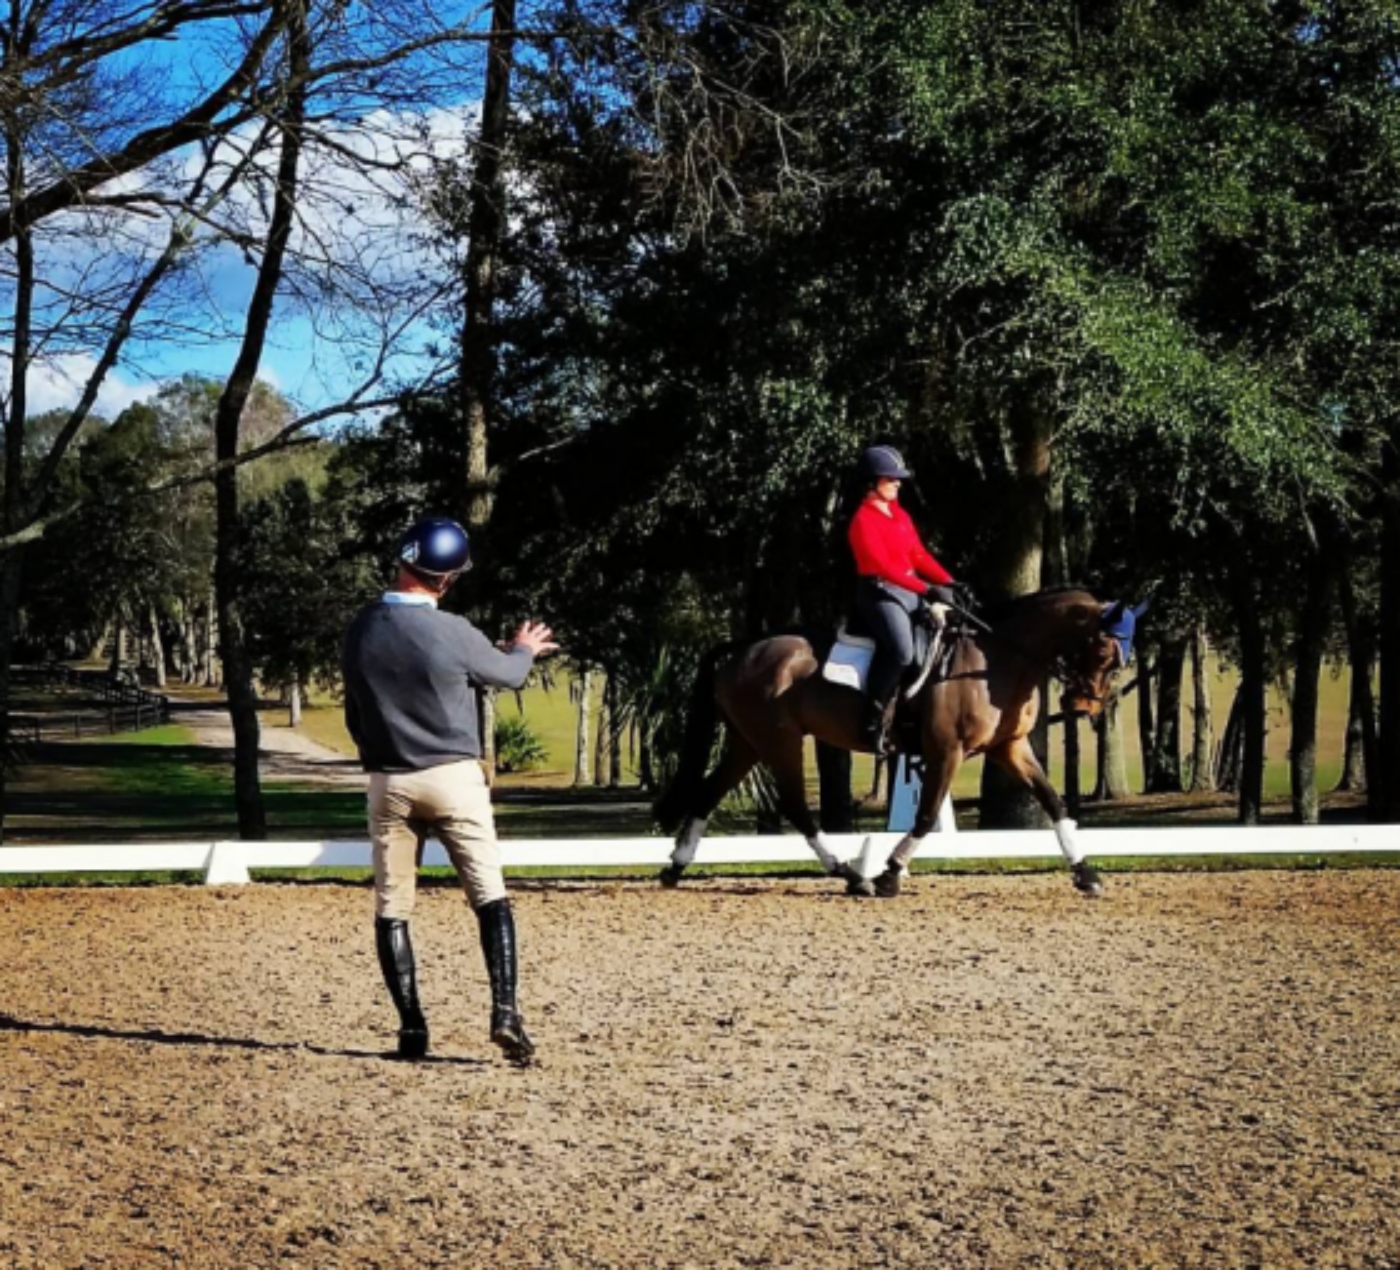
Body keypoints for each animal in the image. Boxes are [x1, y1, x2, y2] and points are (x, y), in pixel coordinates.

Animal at [649, 588, 1142, 896]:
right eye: (1103, 649)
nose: (1085, 705)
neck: (996, 659)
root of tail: (744, 648)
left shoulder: (1011, 748)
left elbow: (1054, 803)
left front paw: (1086, 873)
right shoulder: (946, 750)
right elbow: (925, 814)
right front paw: (889, 874)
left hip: (747, 742)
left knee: (708, 793)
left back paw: (675, 867)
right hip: (780, 741)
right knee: (795, 806)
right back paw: (852, 876)